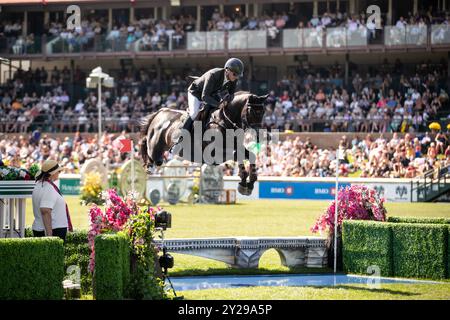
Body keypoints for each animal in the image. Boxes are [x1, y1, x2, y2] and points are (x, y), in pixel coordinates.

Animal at [139, 91, 268, 196]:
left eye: (263, 112)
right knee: (148, 158)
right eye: (251, 111)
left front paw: (249, 183)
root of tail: (159, 113)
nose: (258, 135)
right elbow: (239, 156)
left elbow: (250, 155)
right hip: (155, 151)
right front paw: (244, 181)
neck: (224, 121)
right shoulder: (216, 153)